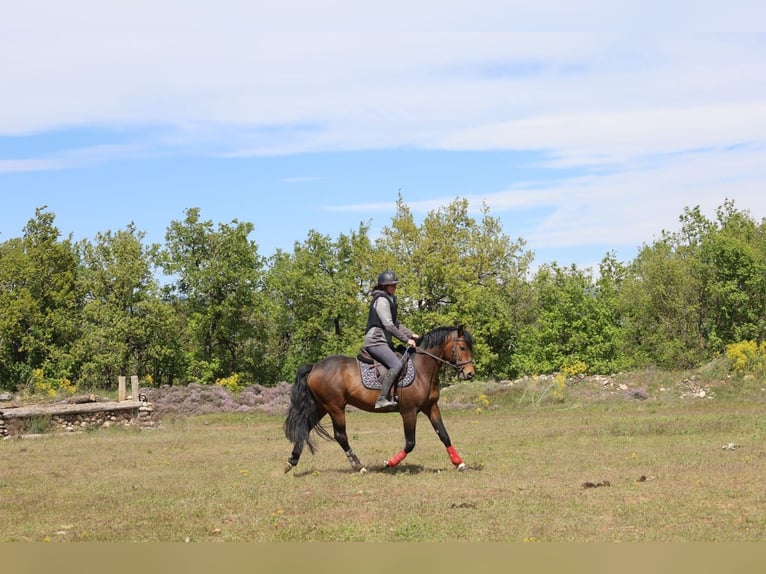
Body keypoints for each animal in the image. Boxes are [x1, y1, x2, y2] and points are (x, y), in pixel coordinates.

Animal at [284, 326, 474, 474]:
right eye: (462, 347)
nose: (470, 374)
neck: (422, 368)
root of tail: (315, 366)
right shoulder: (409, 411)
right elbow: (410, 443)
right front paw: (389, 463)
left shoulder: (431, 407)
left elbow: (444, 435)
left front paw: (459, 463)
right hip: (335, 408)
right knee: (340, 436)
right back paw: (358, 466)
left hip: (321, 407)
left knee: (304, 428)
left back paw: (291, 461)